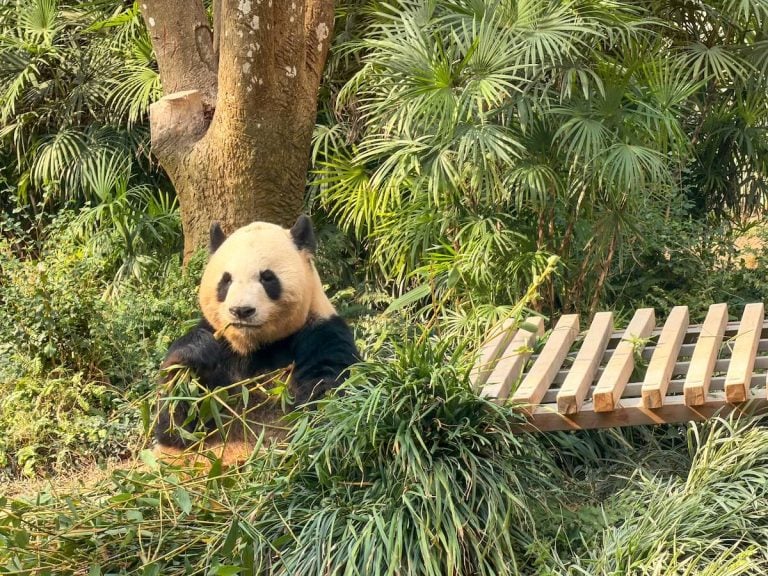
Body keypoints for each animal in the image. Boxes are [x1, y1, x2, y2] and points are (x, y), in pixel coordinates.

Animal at [154, 215, 359, 451]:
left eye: (267, 278)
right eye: (226, 280)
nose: (241, 310)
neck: (254, 346)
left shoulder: (321, 335)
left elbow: (331, 404)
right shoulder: (222, 347)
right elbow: (179, 428)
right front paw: (192, 356)